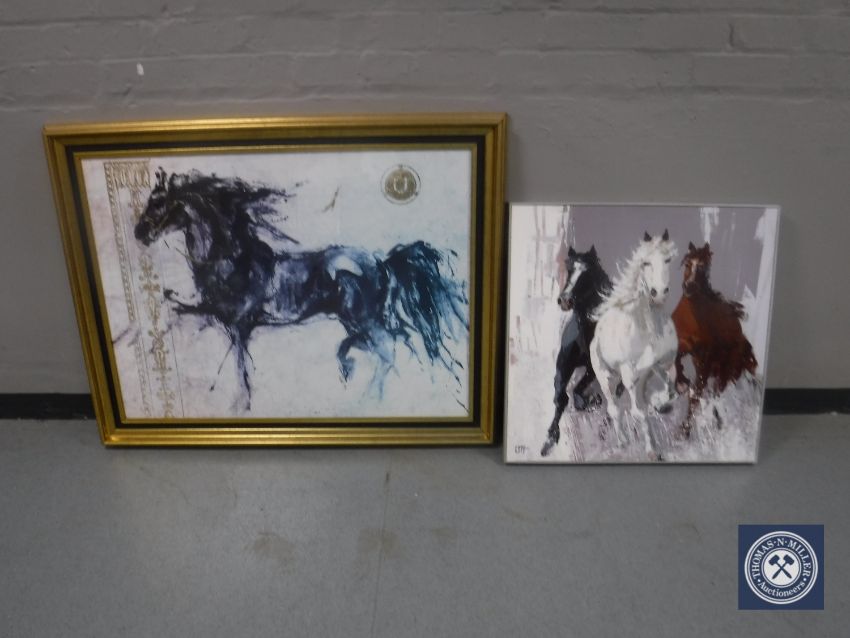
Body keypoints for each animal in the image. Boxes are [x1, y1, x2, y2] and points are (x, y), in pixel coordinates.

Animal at [134, 168, 468, 411]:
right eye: (150, 200)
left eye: (160, 202)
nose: (140, 233)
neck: (231, 261)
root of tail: (381, 262)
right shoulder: (215, 314)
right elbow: (177, 310)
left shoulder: (239, 324)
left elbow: (241, 368)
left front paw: (242, 404)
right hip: (358, 321)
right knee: (389, 342)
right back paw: (353, 372)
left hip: (364, 320)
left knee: (387, 349)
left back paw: (365, 395)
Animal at [540, 245, 611, 457]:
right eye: (569, 269)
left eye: (587, 273)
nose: (565, 300)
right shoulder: (567, 367)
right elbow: (564, 398)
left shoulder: (594, 368)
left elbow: (578, 394)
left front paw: (594, 401)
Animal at [589, 230, 678, 458]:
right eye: (645, 263)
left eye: (668, 259)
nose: (658, 292)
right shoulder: (628, 374)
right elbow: (639, 412)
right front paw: (652, 451)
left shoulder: (663, 365)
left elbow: (671, 391)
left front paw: (662, 404)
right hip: (607, 378)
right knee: (614, 410)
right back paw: (622, 443)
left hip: (643, 377)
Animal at [671, 242, 758, 434]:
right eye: (687, 264)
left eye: (703, 267)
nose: (689, 287)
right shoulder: (685, 346)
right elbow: (677, 360)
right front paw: (680, 383)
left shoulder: (706, 358)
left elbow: (697, 395)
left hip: (725, 370)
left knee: (711, 393)